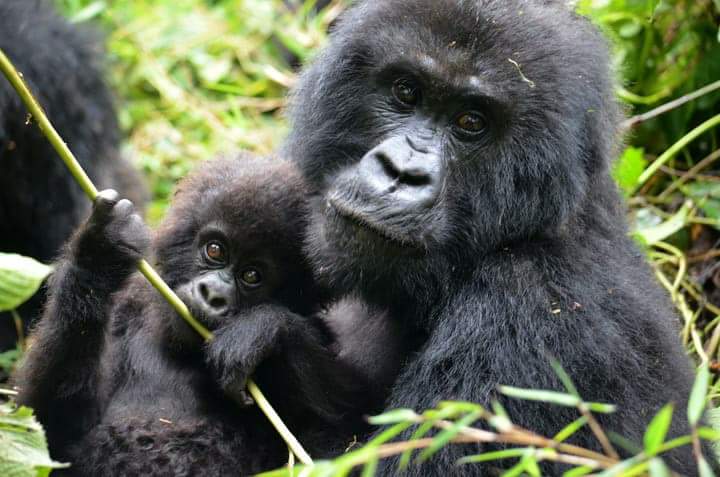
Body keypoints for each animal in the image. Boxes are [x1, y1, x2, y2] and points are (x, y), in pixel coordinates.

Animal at [15, 155, 400, 472]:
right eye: (215, 250)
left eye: (252, 276)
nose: (214, 295)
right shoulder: (126, 308)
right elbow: (51, 434)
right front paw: (98, 255)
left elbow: (357, 425)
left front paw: (263, 331)